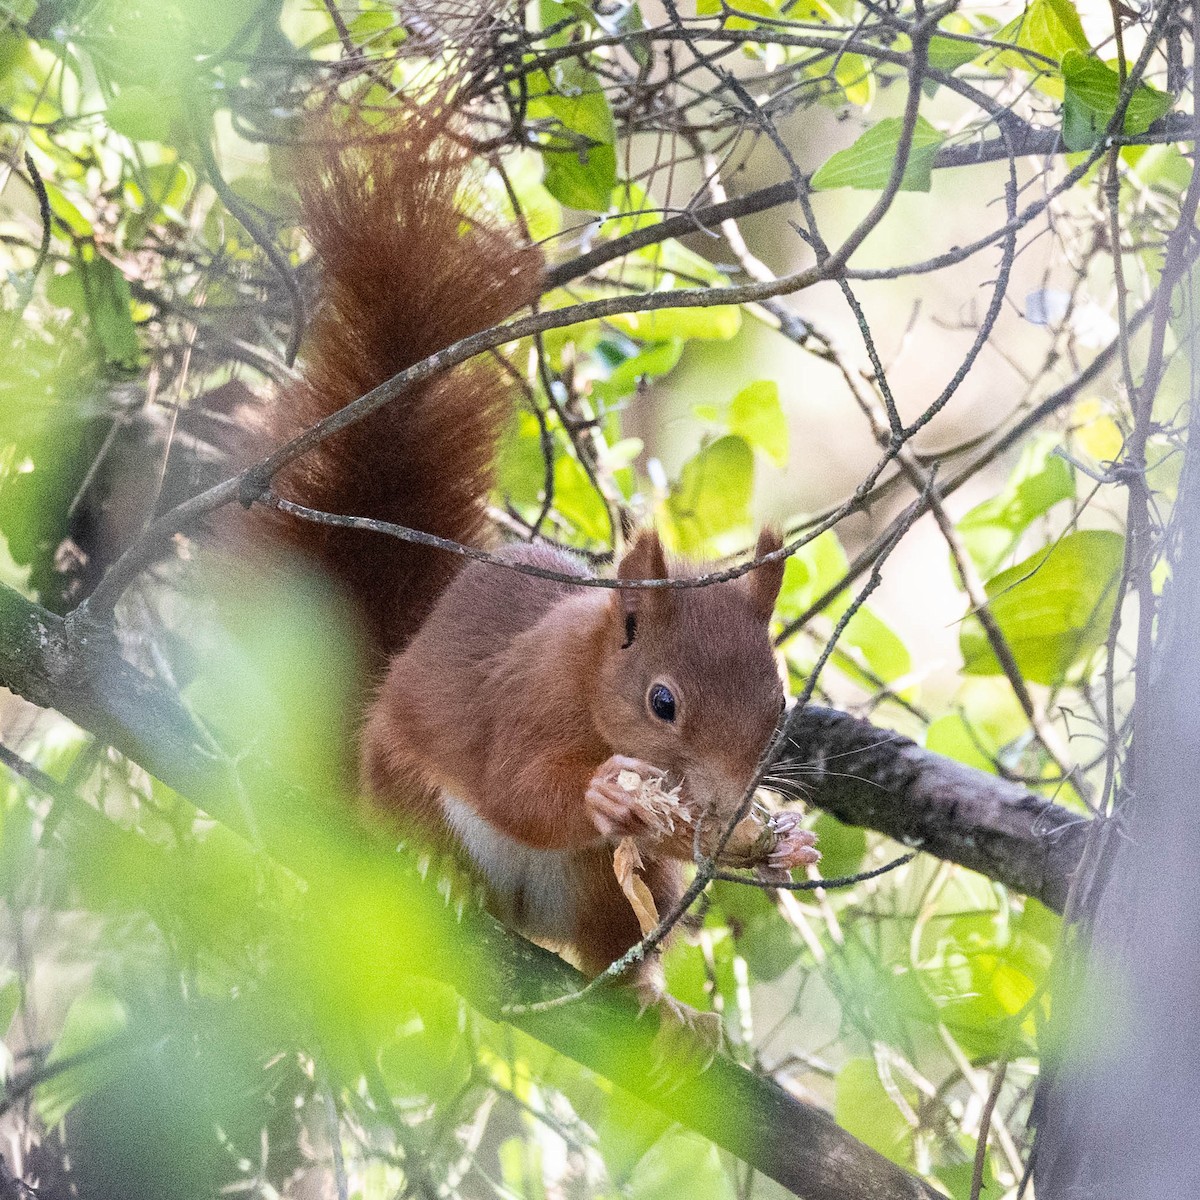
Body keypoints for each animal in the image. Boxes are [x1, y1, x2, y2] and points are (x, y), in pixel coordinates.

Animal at [247, 113, 819, 989]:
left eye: (780, 701)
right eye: (663, 703)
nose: (726, 804)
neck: (589, 676)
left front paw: (786, 838)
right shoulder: (524, 697)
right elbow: (516, 788)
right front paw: (605, 797)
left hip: (606, 892)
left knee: (620, 930)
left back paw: (654, 998)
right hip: (400, 783)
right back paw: (441, 873)